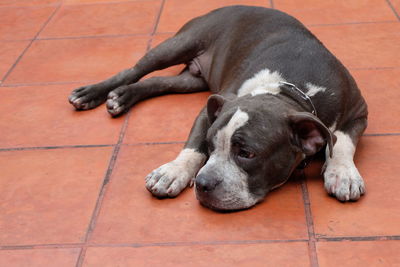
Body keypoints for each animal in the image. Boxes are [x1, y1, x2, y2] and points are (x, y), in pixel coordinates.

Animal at [68, 5, 368, 211]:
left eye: (247, 153)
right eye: (211, 145)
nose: (202, 183)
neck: (290, 89)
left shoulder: (358, 112)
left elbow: (342, 140)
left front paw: (342, 173)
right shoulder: (212, 107)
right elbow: (192, 146)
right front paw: (172, 172)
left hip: (191, 80)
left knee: (158, 82)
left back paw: (123, 96)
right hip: (180, 43)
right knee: (134, 70)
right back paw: (92, 93)